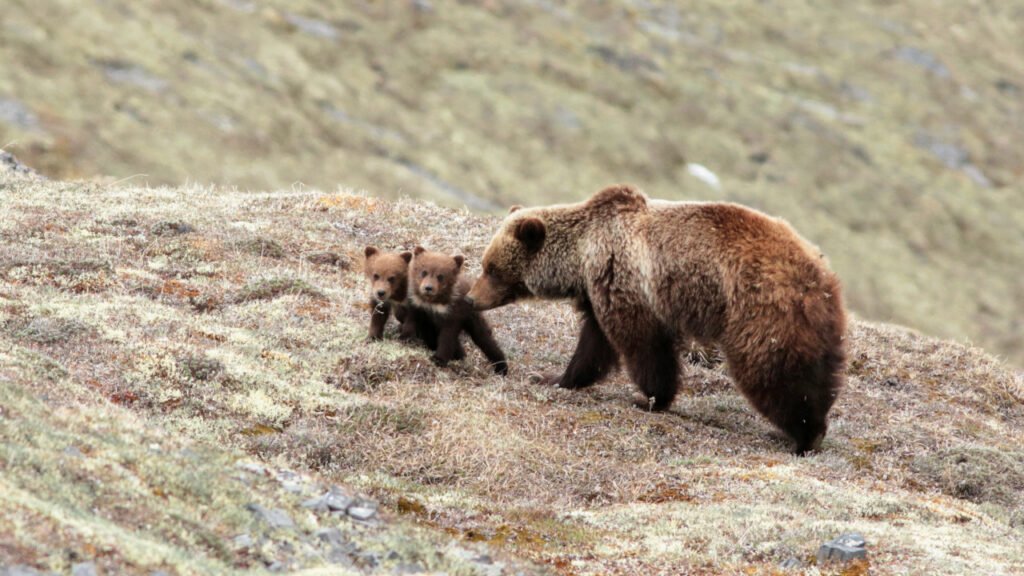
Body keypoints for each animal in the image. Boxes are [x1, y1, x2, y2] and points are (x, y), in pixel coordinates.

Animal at [468, 183, 843, 453]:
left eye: (492, 268)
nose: (471, 297)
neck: (582, 256)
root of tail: (818, 276)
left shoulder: (626, 282)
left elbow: (642, 345)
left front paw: (648, 397)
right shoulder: (601, 292)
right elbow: (593, 345)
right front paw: (555, 377)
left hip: (760, 314)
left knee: (770, 371)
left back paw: (803, 435)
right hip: (817, 329)